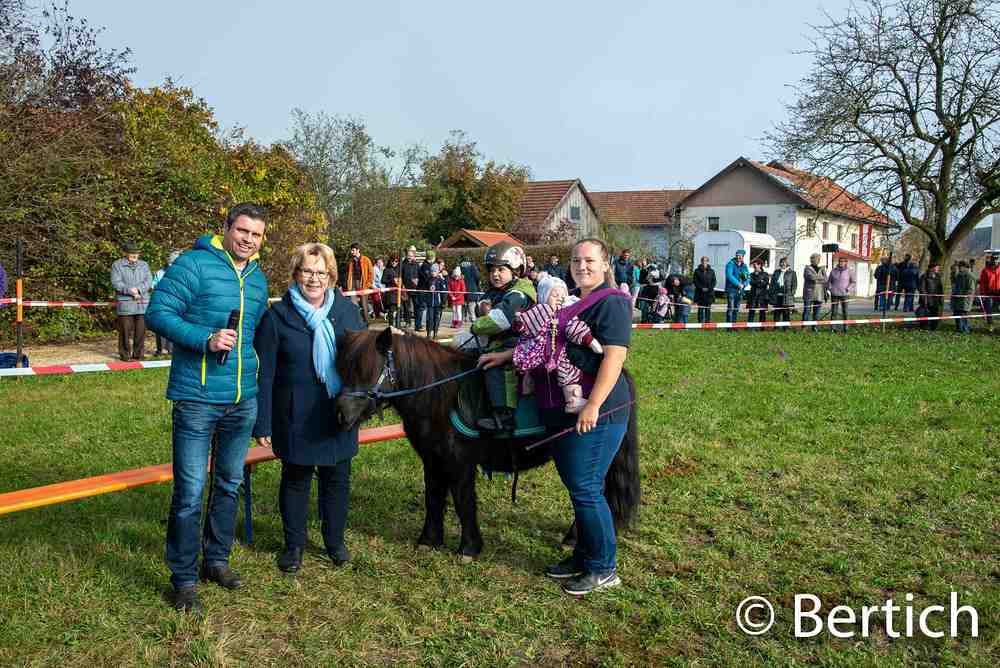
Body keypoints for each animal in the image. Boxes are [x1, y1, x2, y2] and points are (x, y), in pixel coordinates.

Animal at [335, 326, 641, 560]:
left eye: (368, 370)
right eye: (343, 370)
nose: (341, 415)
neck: (439, 394)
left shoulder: (460, 463)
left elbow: (463, 502)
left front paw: (469, 548)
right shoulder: (433, 461)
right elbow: (433, 498)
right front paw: (429, 540)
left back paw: (573, 538)